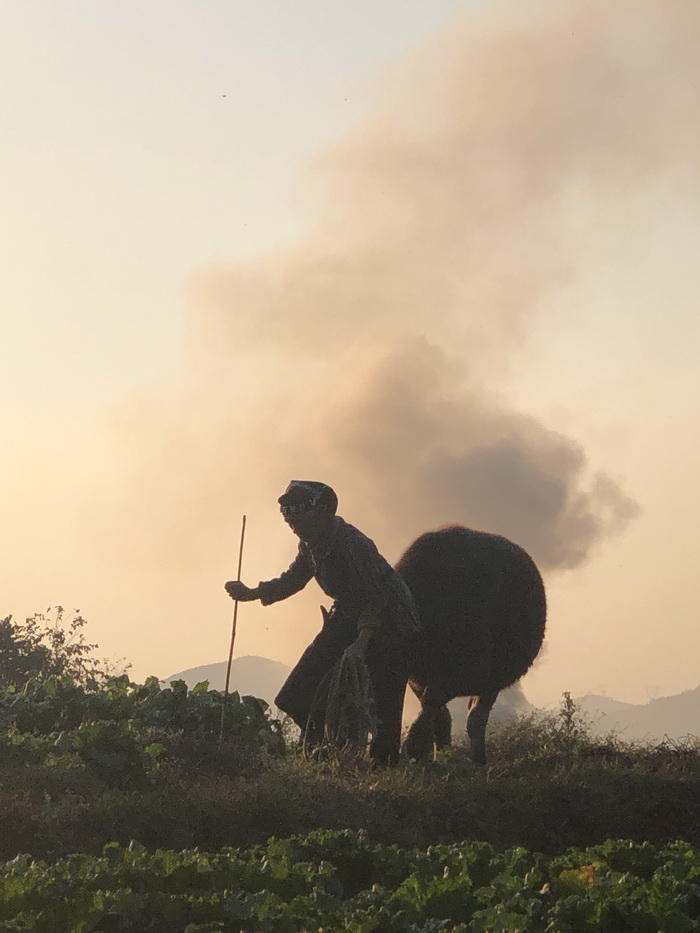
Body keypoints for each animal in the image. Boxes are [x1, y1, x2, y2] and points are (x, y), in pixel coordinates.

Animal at [396, 524, 544, 764]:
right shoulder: (416, 676)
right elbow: (439, 713)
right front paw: (437, 753)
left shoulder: (469, 670)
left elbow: (436, 702)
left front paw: (415, 746)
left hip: (491, 678)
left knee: (476, 718)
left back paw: (478, 758)